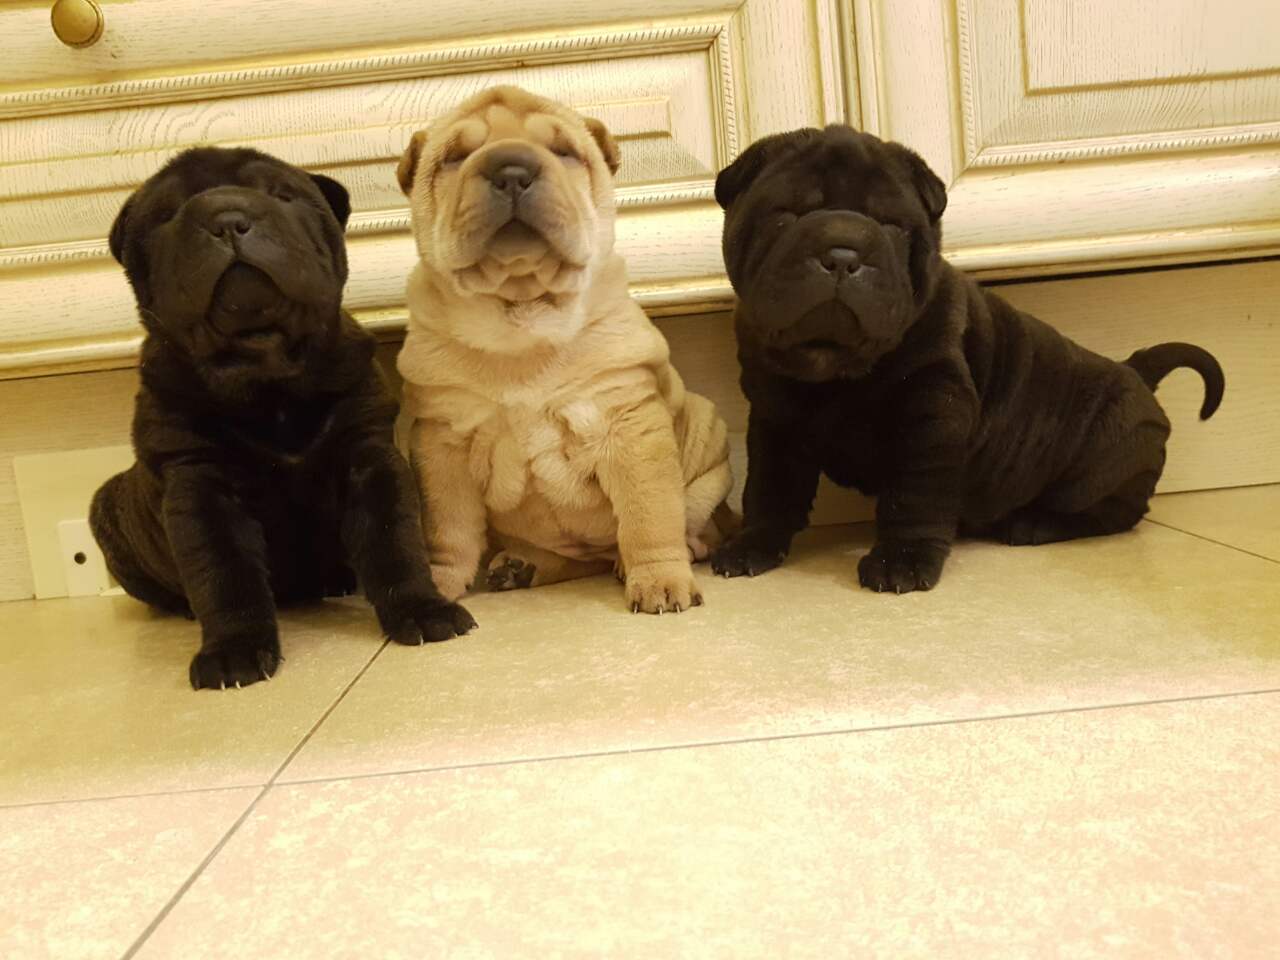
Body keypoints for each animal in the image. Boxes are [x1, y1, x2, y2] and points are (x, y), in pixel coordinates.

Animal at [90, 147, 476, 690]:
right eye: (167, 215)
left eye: (280, 194)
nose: (226, 219)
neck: (268, 378)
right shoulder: (200, 487)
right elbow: (223, 573)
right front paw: (233, 652)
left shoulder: (369, 459)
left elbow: (394, 542)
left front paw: (424, 611)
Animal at [395, 85, 733, 613]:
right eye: (454, 157)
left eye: (564, 152)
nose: (512, 169)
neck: (521, 317)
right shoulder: (442, 439)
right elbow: (448, 528)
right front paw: (438, 583)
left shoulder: (628, 424)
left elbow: (649, 515)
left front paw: (660, 581)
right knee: (574, 559)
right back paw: (521, 566)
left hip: (706, 444)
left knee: (691, 527)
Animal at [709, 125, 1224, 593]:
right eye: (786, 215)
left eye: (892, 226)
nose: (842, 252)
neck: (837, 369)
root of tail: (1136, 370)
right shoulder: (775, 420)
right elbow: (769, 489)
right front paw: (750, 545)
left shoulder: (932, 415)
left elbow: (913, 496)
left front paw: (902, 561)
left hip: (1101, 462)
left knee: (1116, 511)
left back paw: (1032, 523)